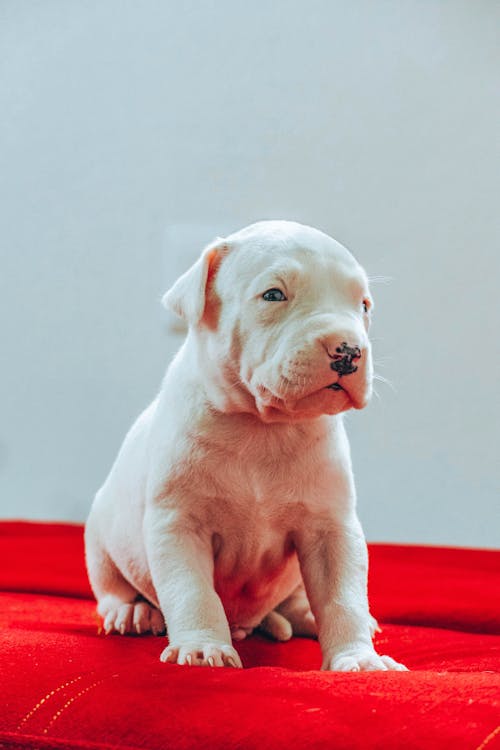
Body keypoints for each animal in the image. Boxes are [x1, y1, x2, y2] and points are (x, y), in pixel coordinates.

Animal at [86, 220, 406, 672]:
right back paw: (131, 612)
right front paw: (203, 648)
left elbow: (343, 596)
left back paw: (304, 616)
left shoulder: (330, 527)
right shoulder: (179, 524)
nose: (349, 350)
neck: (263, 428)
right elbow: (193, 590)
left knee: (295, 601)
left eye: (363, 305)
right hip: (99, 534)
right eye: (273, 295)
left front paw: (359, 659)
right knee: (111, 585)